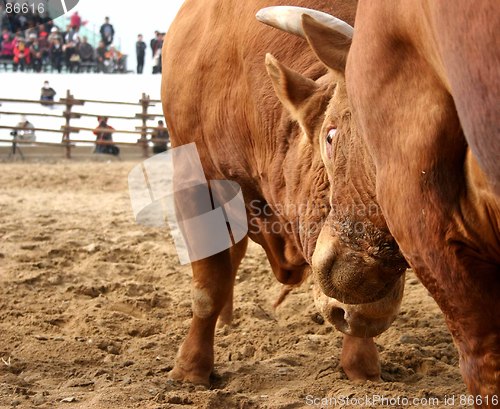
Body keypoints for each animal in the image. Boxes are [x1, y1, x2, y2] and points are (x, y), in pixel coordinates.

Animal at [160, 0, 406, 386]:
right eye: (329, 136)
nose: (369, 299)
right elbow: (208, 287)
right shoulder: (196, 183)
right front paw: (191, 370)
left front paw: (362, 367)